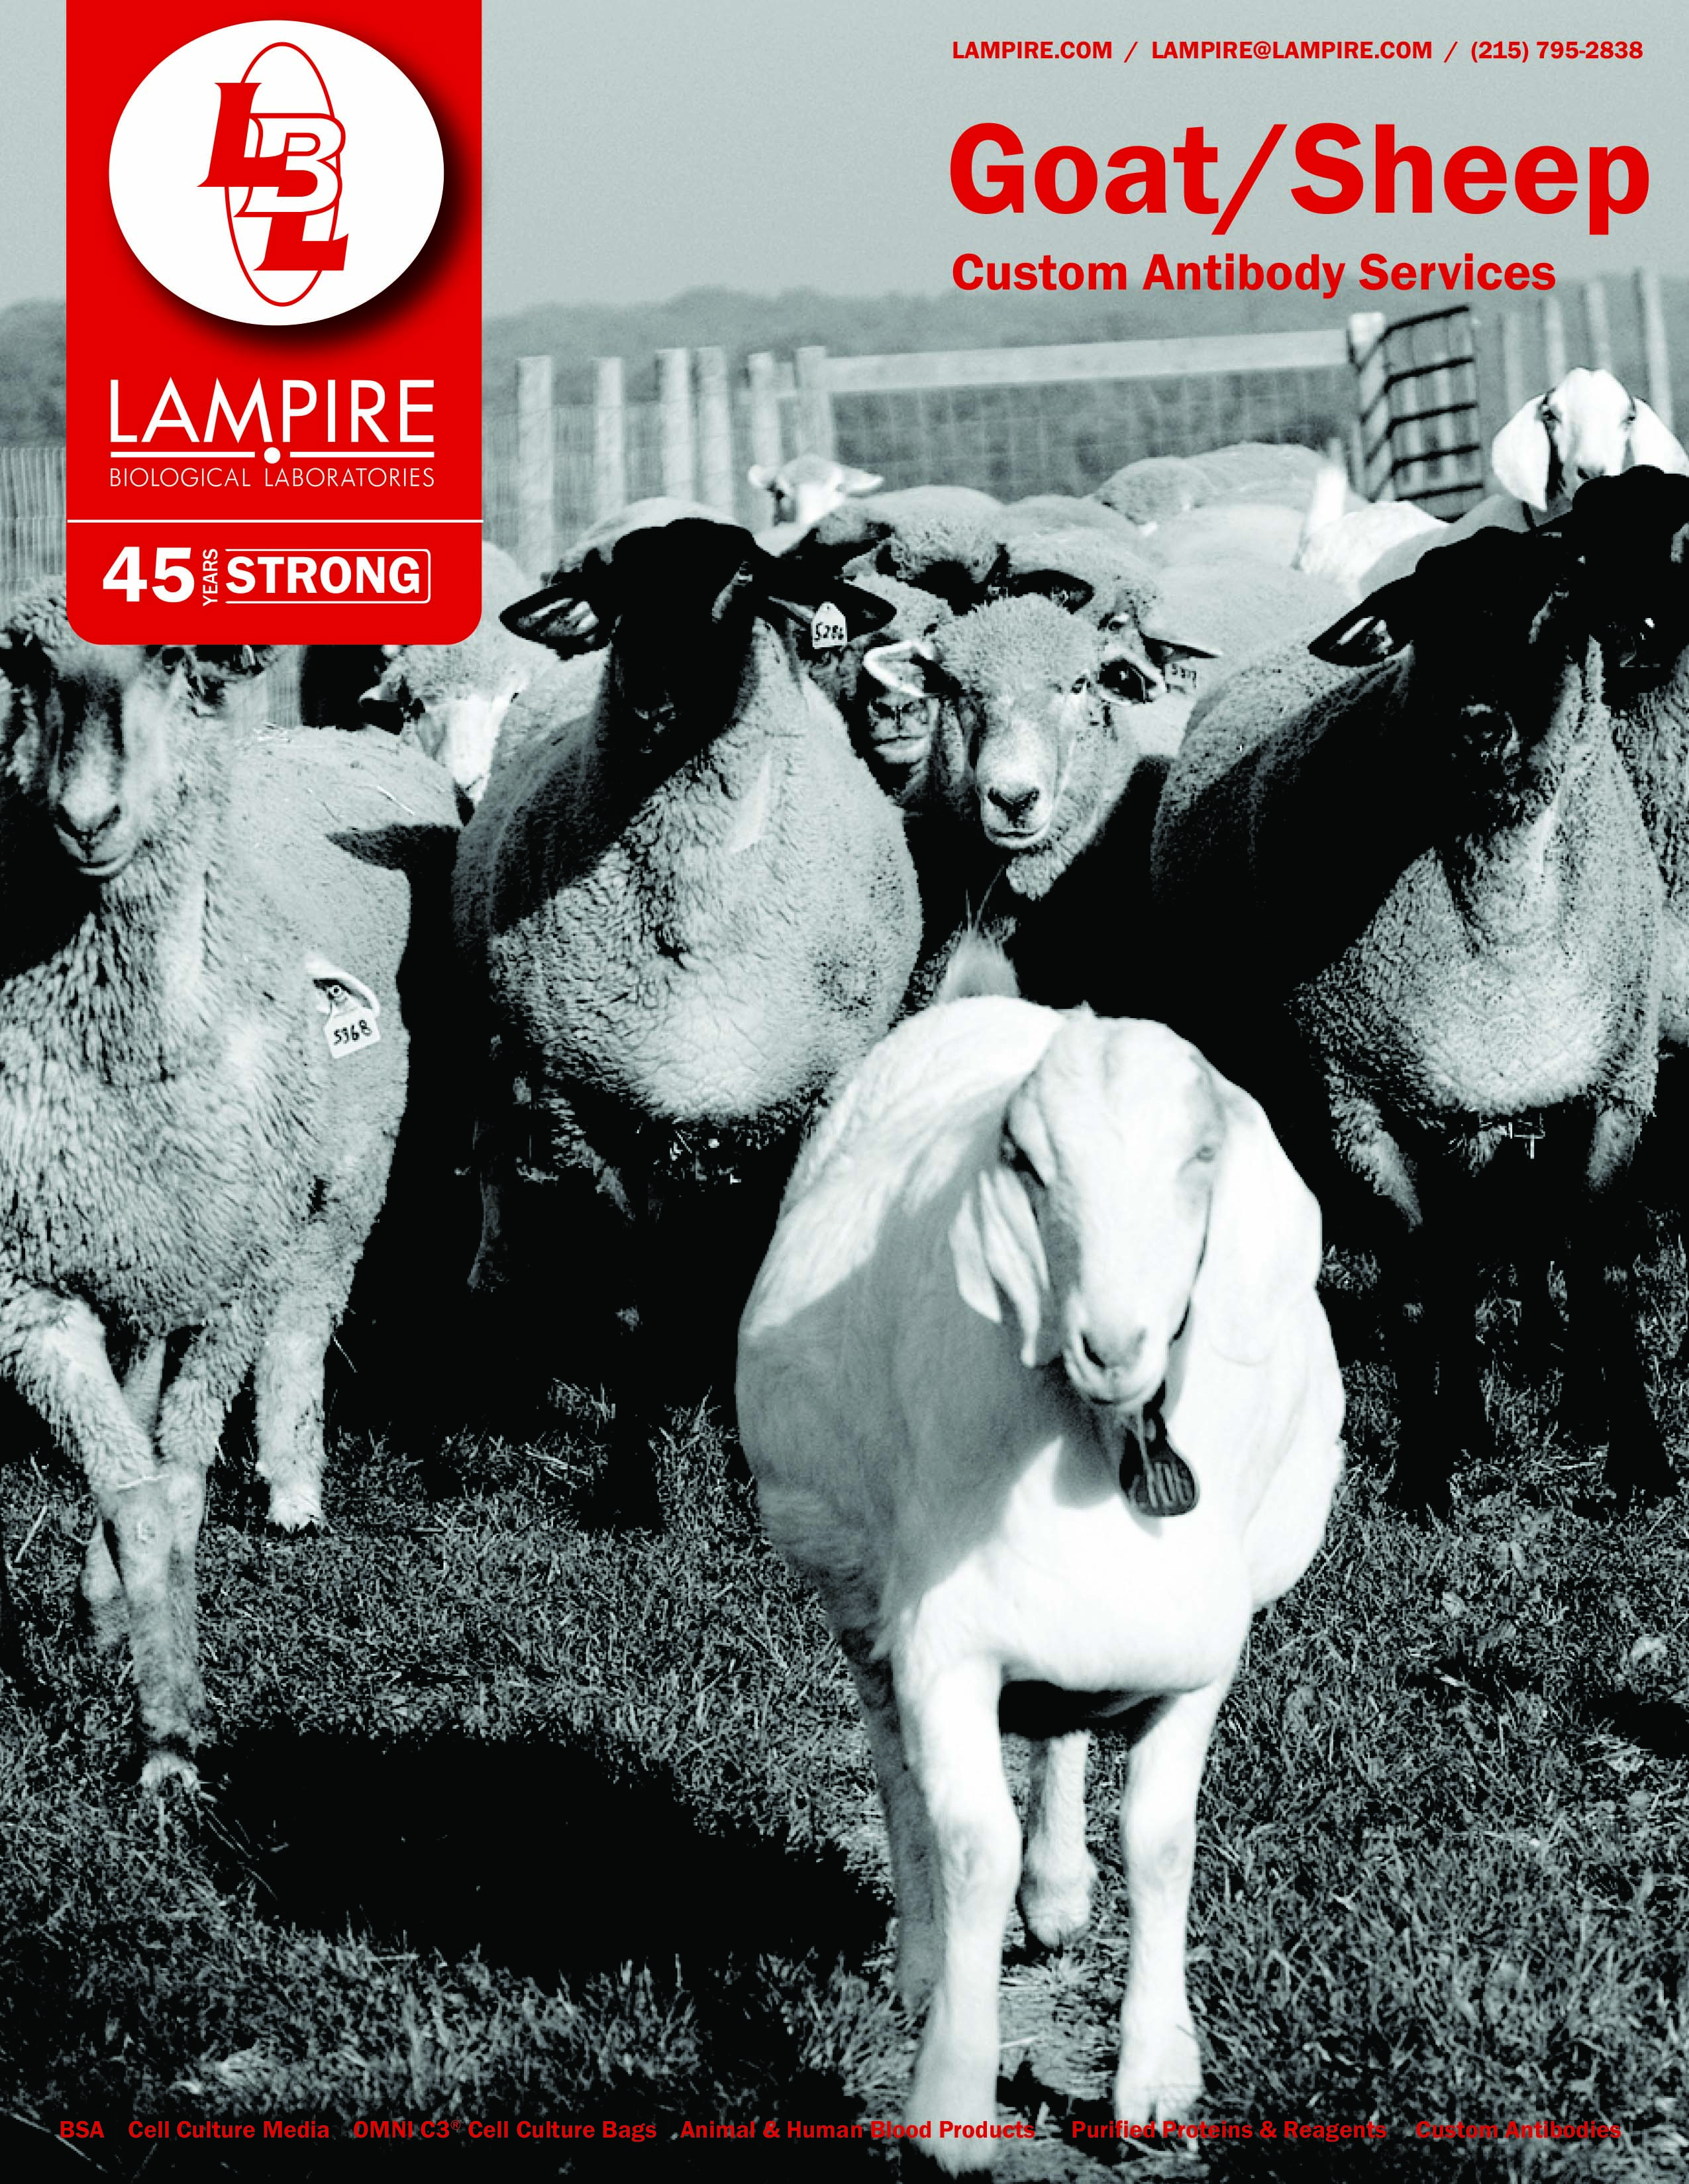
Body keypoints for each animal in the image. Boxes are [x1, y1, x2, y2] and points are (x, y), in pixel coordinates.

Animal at [0, 581, 460, 1785]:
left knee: (304, 1325)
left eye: (170, 657)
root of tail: (331, 733)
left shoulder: (239, 1273)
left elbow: (182, 1472)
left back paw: (293, 1486)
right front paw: (157, 1711)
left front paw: (168, 1731)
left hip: (340, 1182)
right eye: (20, 660)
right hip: (164, 1228)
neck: (130, 1044)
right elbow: (134, 1489)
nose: (86, 818)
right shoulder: (32, 1291)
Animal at [452, 519, 922, 1404]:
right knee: (496, 1150)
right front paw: (641, 1363)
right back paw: (495, 1277)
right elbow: (630, 1246)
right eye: (617, 589)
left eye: (743, 577)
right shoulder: (576, 1094)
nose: (649, 702)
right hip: (500, 1042)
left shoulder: (820, 1086)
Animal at [736, 994, 1343, 2160]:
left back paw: (1058, 1893)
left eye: (1200, 1155)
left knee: (1060, 1735)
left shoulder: (1196, 1656)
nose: (1112, 1341)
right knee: (898, 1774)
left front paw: (1155, 2077)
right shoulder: (944, 1642)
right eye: (1022, 1161)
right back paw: (925, 1963)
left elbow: (1160, 1845)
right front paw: (950, 2100)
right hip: (858, 1593)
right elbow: (973, 1842)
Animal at [1149, 502, 1672, 1511]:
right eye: (1424, 619)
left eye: (1559, 600)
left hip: (1472, 1105)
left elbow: (1601, 1274)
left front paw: (1639, 1459)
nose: (1474, 728)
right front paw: (1424, 1473)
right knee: (1439, 1265)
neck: (1505, 919)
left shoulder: (1612, 1086)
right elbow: (1417, 1293)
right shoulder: (1355, 1103)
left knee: (1480, 1251)